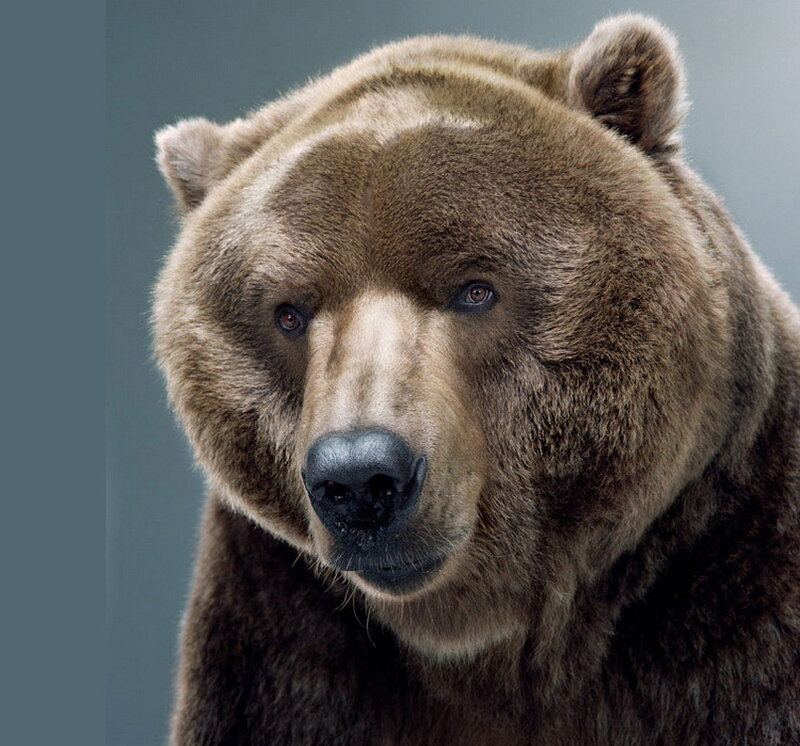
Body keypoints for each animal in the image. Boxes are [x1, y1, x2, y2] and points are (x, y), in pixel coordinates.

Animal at [153, 14, 800, 745]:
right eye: (289, 311)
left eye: (475, 289)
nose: (361, 480)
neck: (484, 639)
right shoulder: (282, 634)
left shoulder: (730, 584)